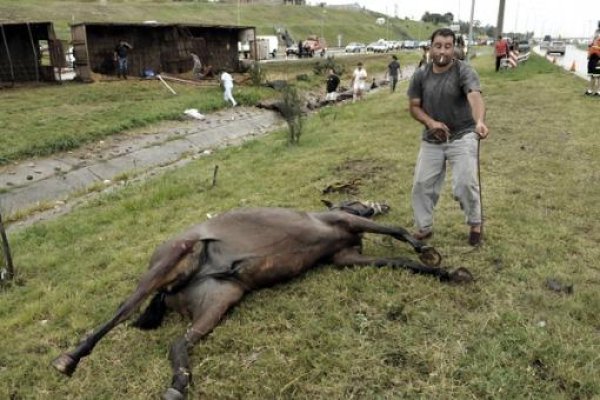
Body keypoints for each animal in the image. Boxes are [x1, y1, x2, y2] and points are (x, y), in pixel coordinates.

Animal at [52, 202, 474, 398]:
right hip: (173, 258)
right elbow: (397, 231)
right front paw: (426, 250)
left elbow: (398, 262)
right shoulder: (347, 224)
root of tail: (170, 293)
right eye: (358, 200)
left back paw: (178, 385)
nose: (380, 202)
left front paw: (448, 272)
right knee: (124, 309)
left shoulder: (346, 257)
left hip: (219, 300)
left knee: (177, 343)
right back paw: (68, 359)